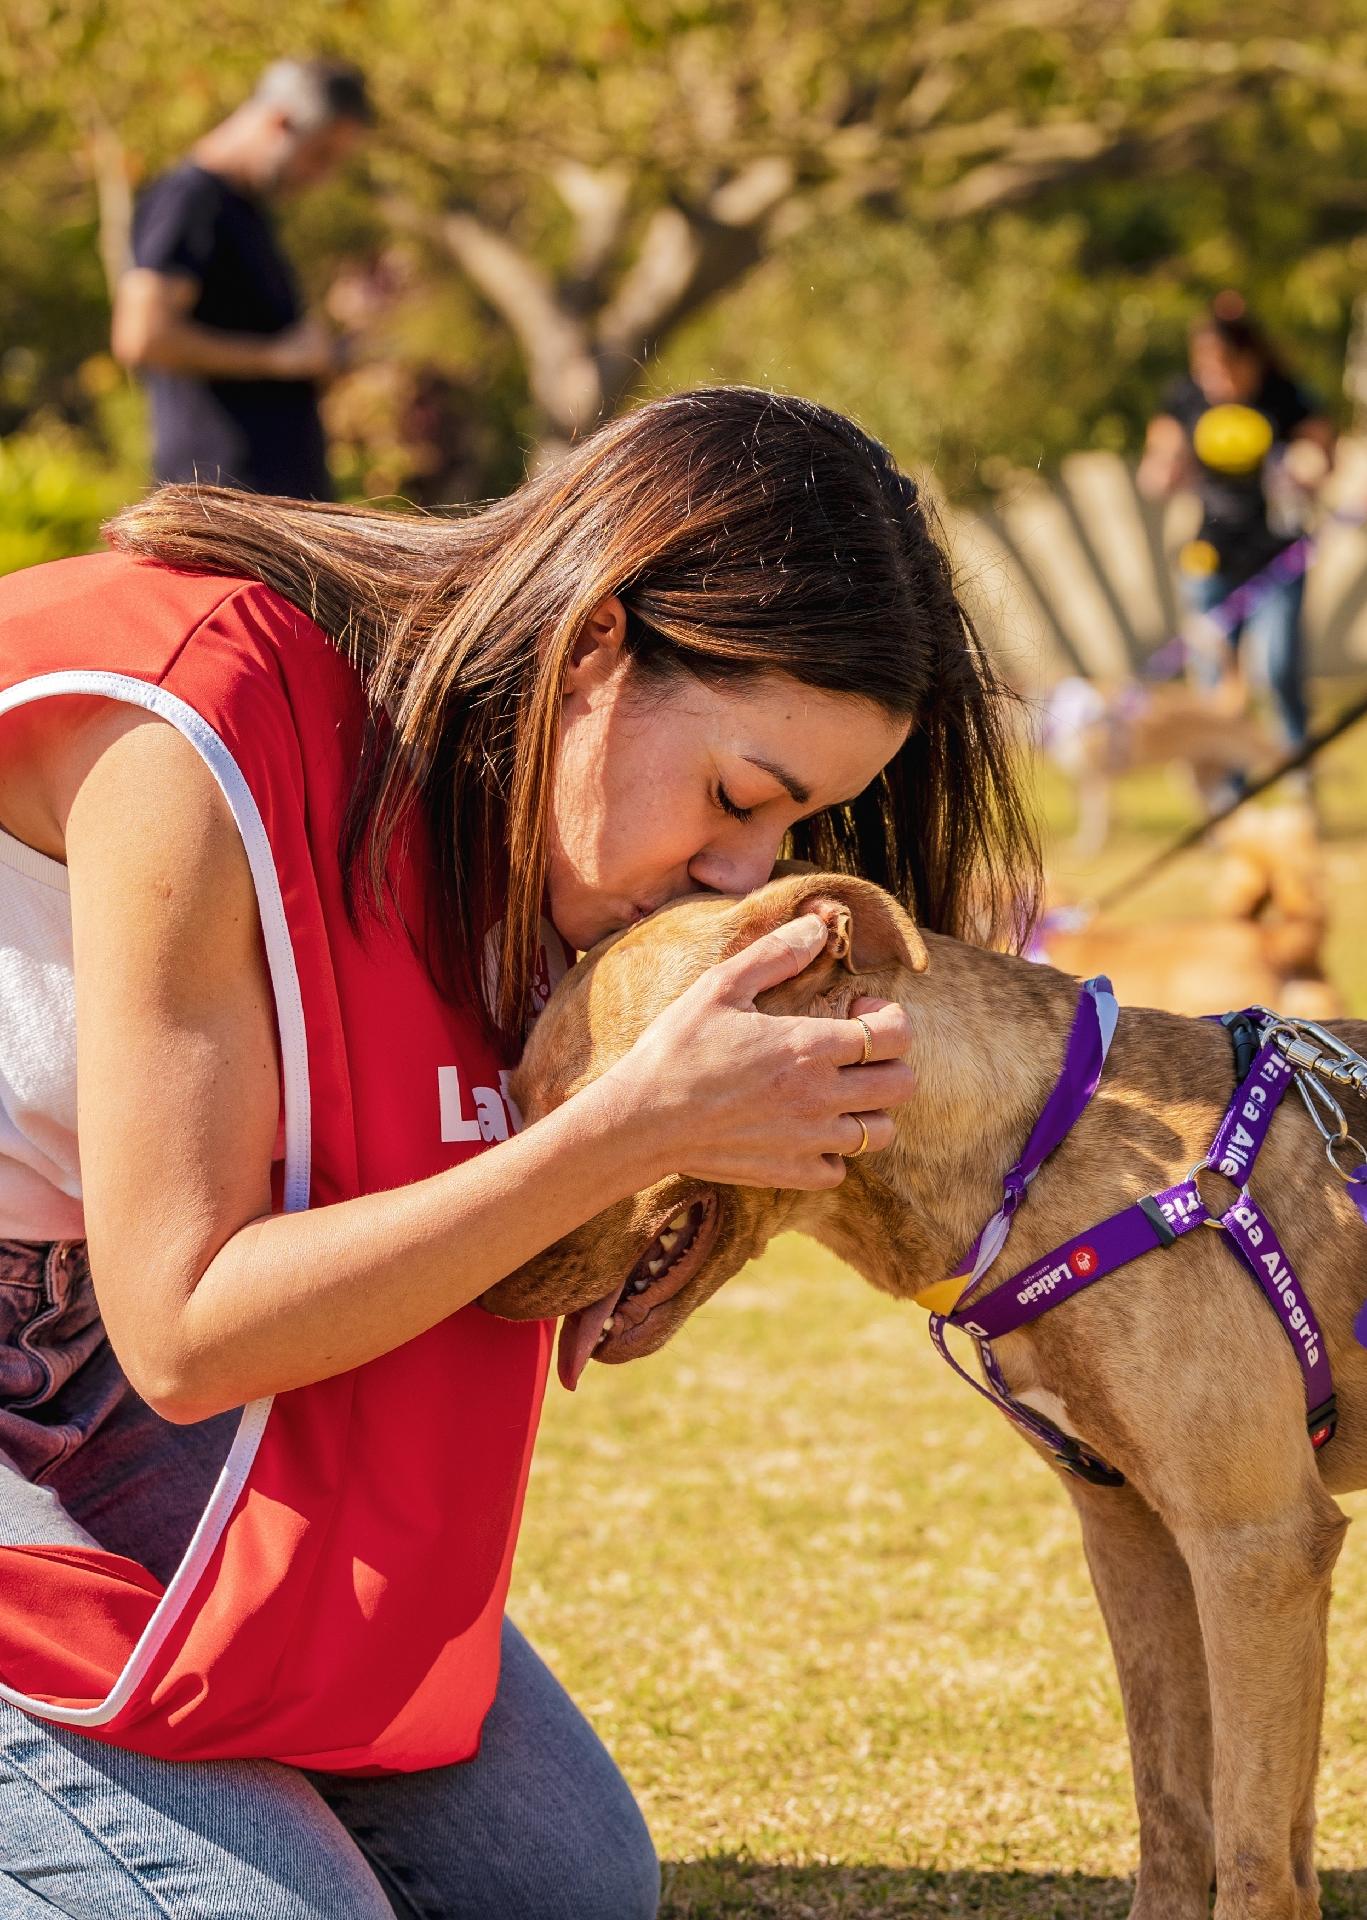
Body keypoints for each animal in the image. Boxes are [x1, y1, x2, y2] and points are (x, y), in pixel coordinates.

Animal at [483, 879, 1367, 1920]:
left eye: (594, 1107)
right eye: (517, 1100)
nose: (482, 1289)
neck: (1035, 1156)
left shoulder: (1255, 1548)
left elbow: (1256, 1860)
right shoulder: (1136, 1538)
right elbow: (1183, 1819)